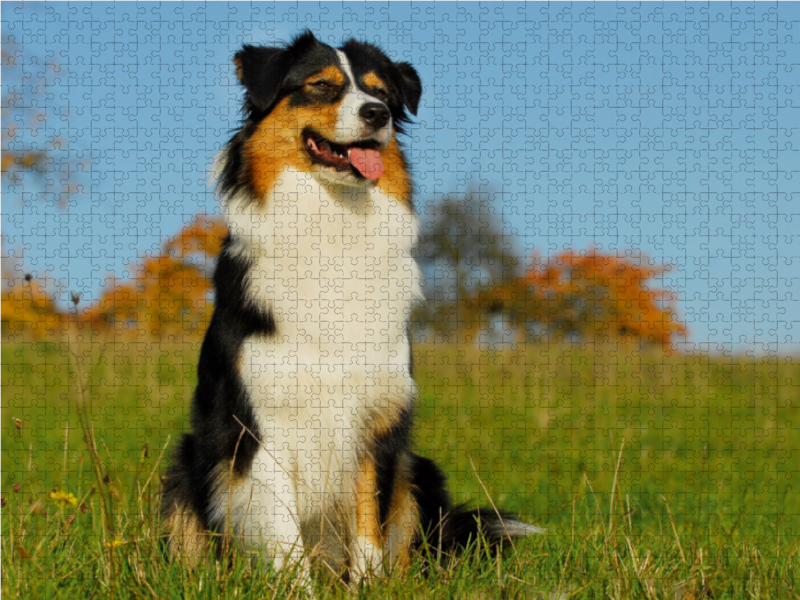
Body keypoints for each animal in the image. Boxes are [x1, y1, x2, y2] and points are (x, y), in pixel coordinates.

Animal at [161, 31, 536, 580]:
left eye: (381, 93)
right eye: (320, 86)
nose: (377, 114)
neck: (333, 224)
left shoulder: (375, 415)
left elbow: (368, 521)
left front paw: (367, 583)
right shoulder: (261, 422)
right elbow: (283, 535)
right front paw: (297, 586)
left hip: (417, 467)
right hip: (188, 462)